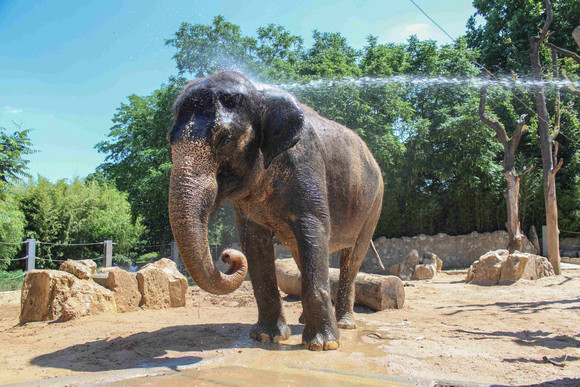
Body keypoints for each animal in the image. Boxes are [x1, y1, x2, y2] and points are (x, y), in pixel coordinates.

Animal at [167, 70, 386, 352]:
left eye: (224, 139)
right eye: (170, 140)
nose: (227, 255)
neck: (260, 96)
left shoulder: (306, 166)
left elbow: (314, 229)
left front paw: (323, 346)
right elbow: (254, 242)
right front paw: (266, 338)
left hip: (374, 202)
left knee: (352, 257)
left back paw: (345, 325)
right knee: (302, 255)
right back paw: (305, 320)